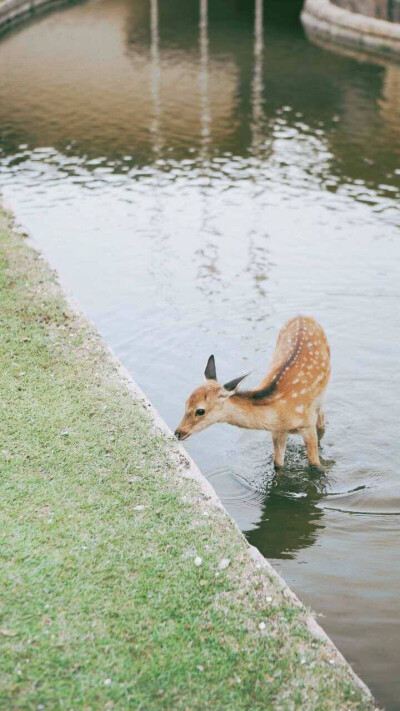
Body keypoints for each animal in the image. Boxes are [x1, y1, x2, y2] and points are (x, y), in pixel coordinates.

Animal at [175, 318, 332, 472]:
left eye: (200, 411)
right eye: (186, 402)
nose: (178, 432)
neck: (278, 412)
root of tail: (303, 316)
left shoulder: (307, 424)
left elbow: (315, 465)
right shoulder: (277, 431)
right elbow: (277, 464)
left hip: (320, 398)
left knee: (322, 424)